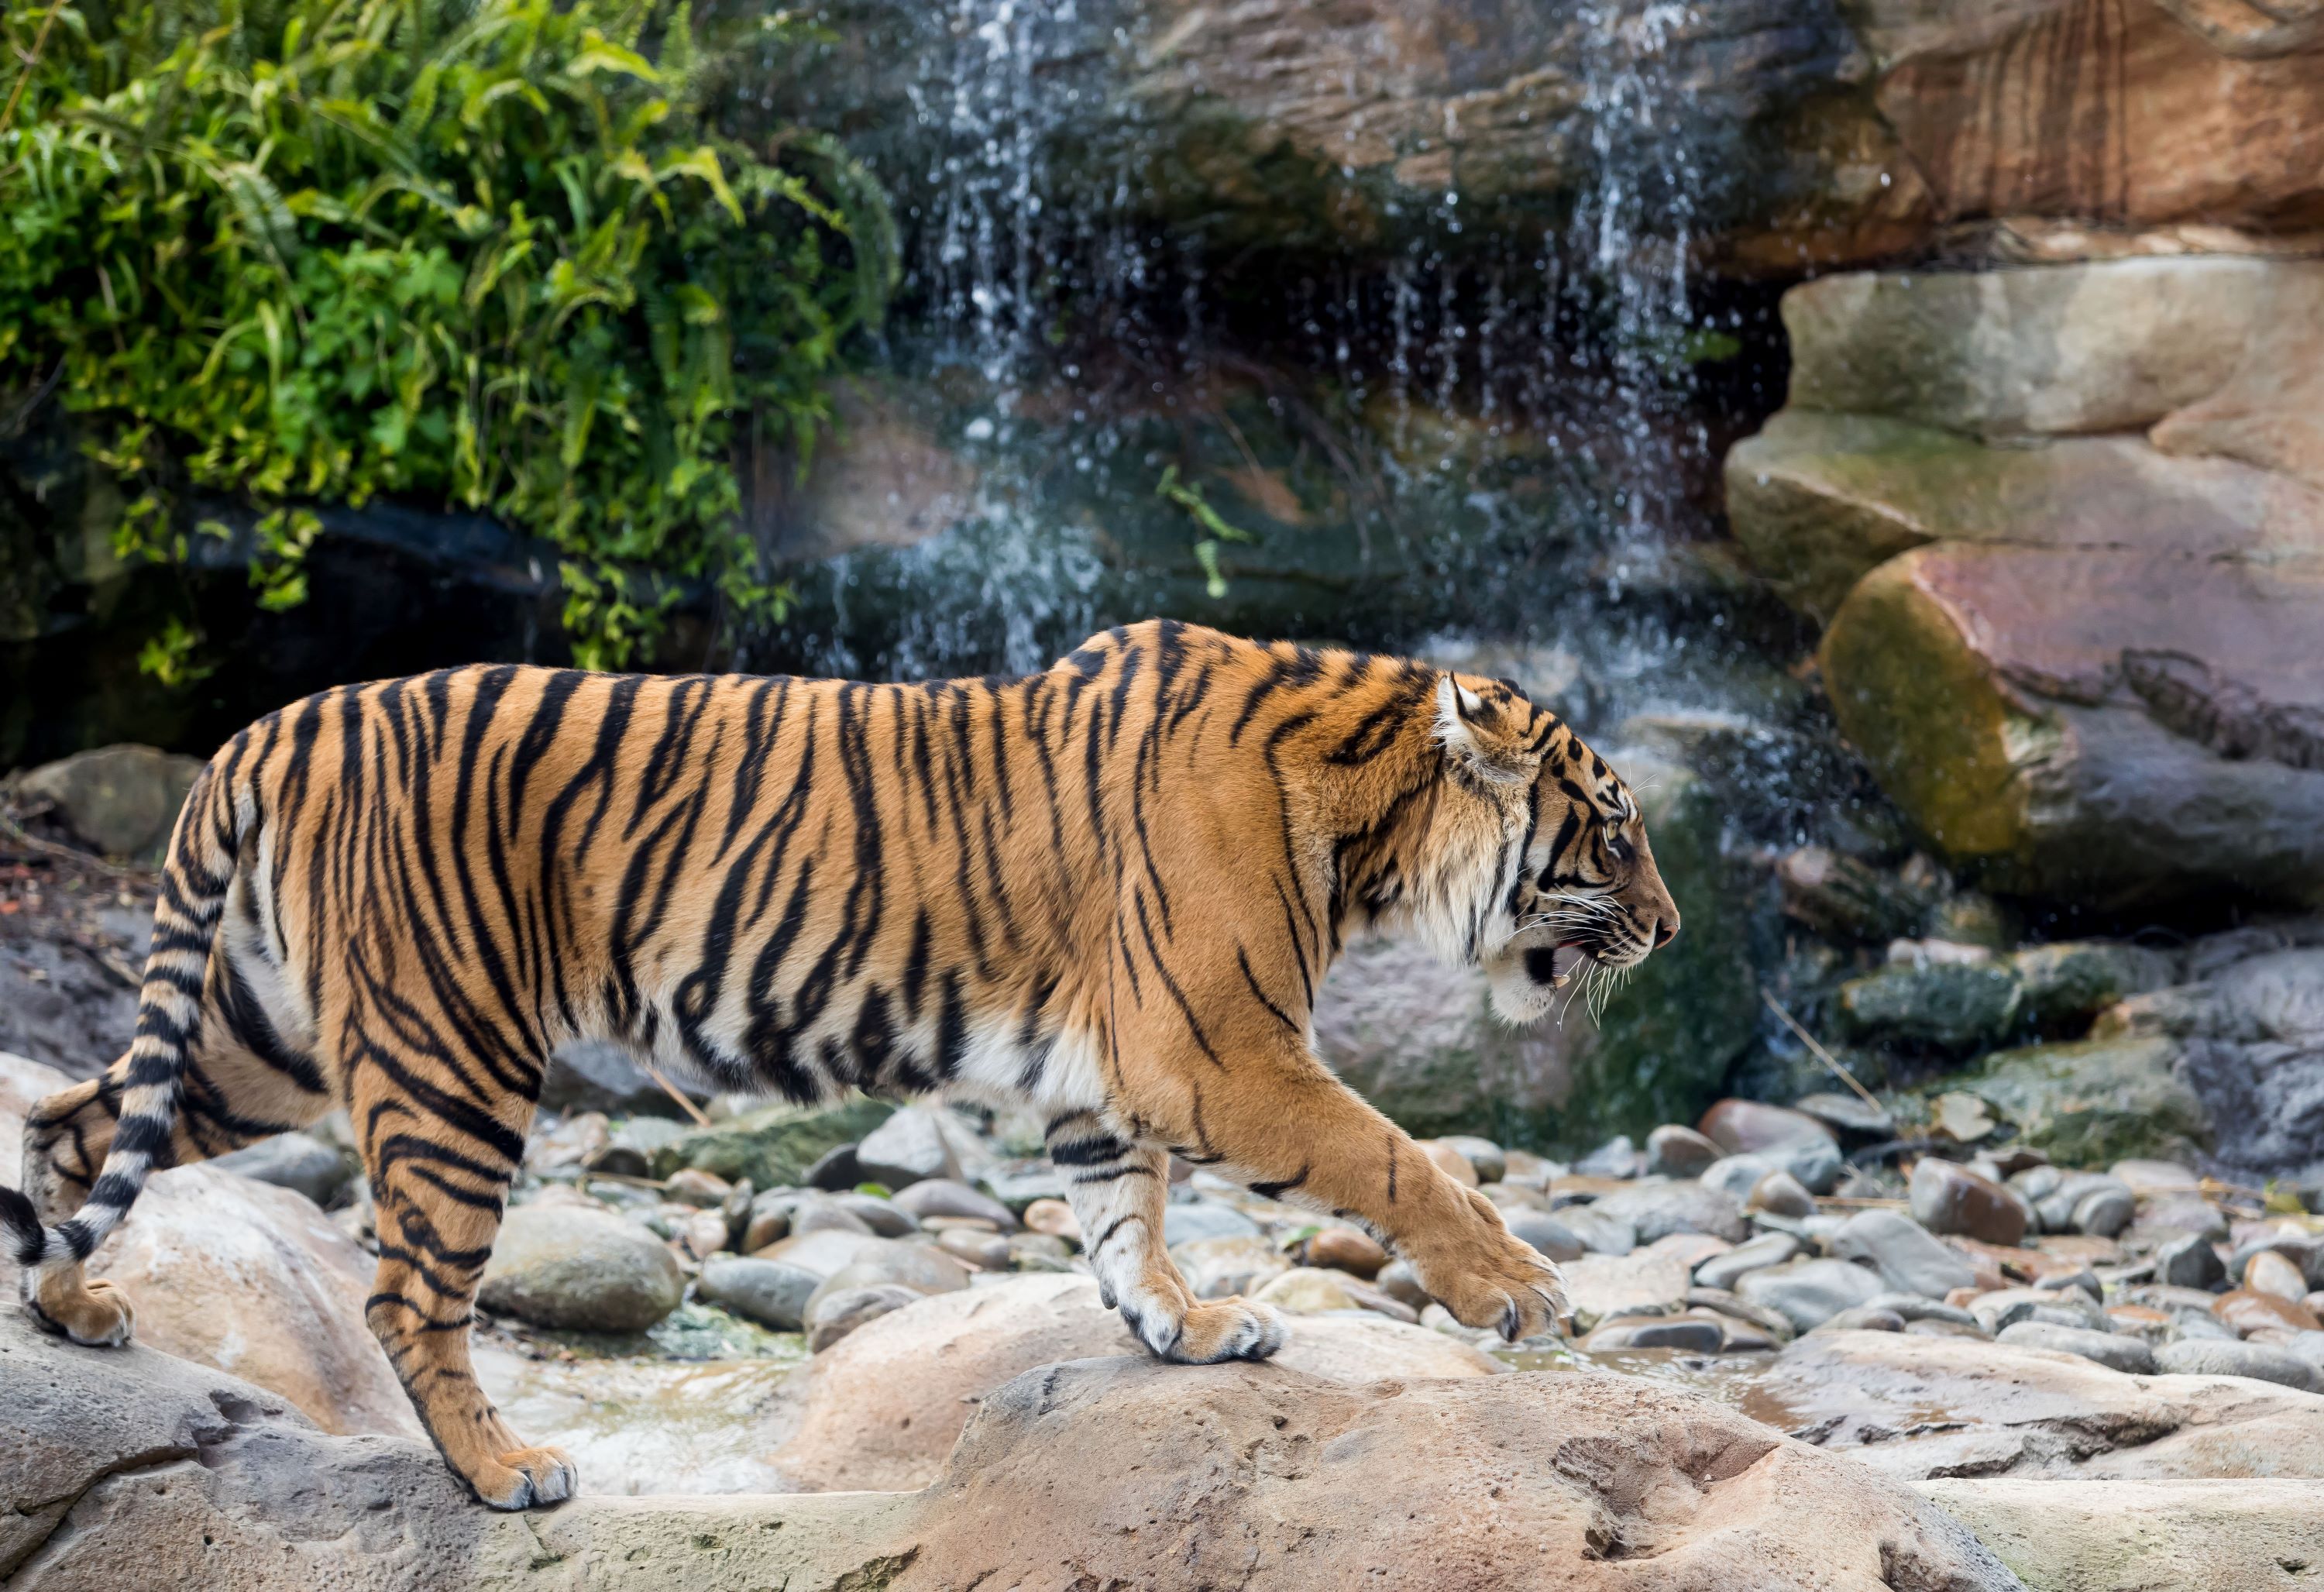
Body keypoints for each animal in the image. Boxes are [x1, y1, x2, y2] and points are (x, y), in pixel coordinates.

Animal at [1, 619, 1678, 1509]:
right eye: (1615, 832)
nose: (1669, 927)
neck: (1368, 819)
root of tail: (271, 726)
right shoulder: (1222, 1050)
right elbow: (1403, 1157)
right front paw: (1527, 1295)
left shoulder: (1115, 1077)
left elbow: (1123, 1221)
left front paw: (1185, 1331)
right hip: (450, 1049)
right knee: (407, 1292)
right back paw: (505, 1469)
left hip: (266, 1035)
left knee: (84, 1122)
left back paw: (72, 1307)